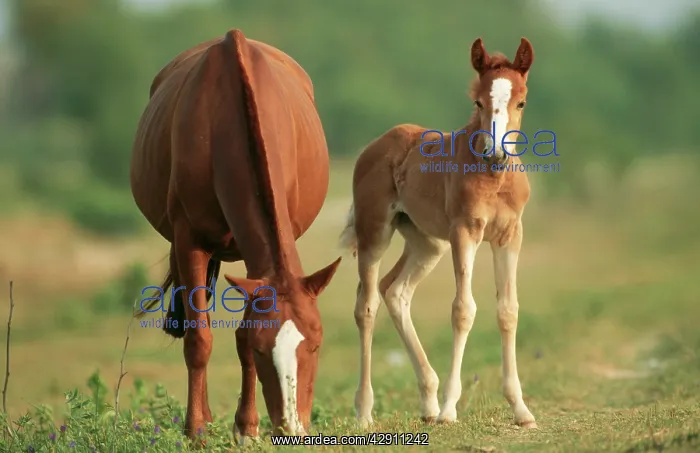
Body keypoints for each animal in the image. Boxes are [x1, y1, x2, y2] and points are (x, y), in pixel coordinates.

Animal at [130, 29, 342, 443]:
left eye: (317, 344)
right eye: (264, 351)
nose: (291, 428)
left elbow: (239, 335)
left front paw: (246, 428)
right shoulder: (189, 240)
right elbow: (201, 339)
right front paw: (196, 430)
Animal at [338, 37, 538, 429]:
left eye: (521, 101)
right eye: (478, 101)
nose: (496, 154)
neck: (493, 179)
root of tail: (375, 145)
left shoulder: (510, 235)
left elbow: (508, 310)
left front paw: (521, 409)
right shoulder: (465, 232)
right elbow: (463, 309)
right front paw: (449, 410)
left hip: (427, 244)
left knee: (395, 290)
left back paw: (427, 401)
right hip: (375, 233)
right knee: (366, 306)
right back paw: (366, 413)